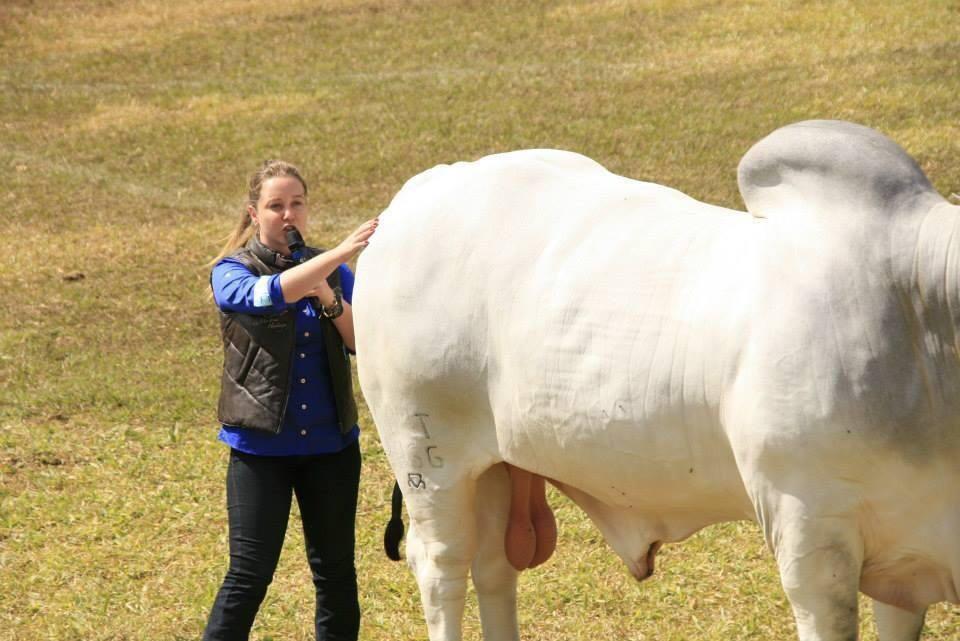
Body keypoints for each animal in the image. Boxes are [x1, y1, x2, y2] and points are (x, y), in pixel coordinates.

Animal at [352, 121, 960, 640]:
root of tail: (415, 195)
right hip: (425, 454)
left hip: (500, 465)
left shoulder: (906, 562)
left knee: (495, 567)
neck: (921, 304)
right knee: (442, 566)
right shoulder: (811, 533)